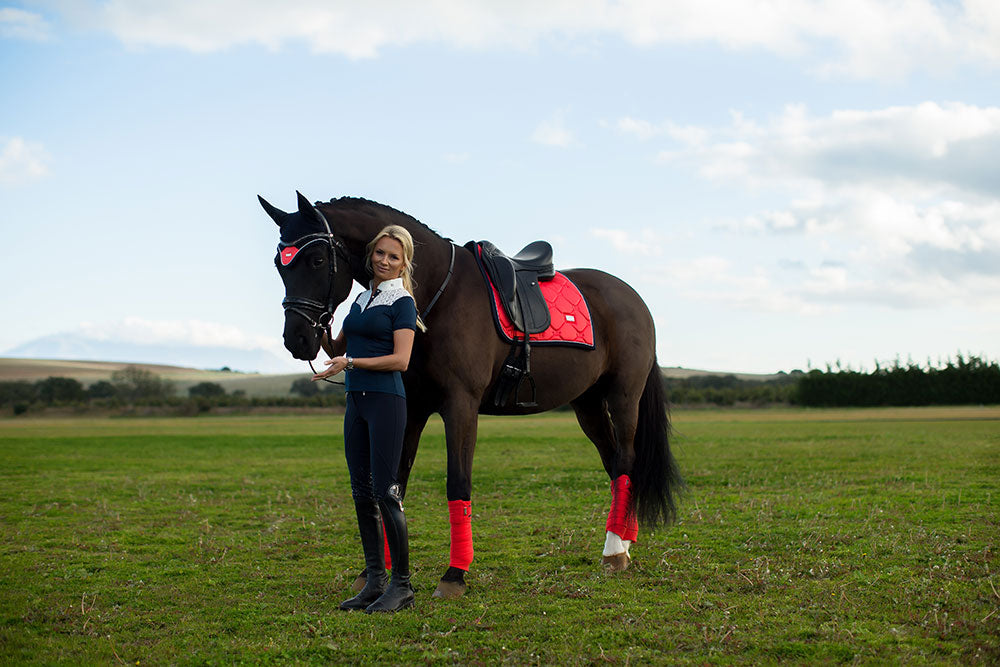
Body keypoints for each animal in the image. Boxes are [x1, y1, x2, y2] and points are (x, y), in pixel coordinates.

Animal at [258, 190, 684, 596]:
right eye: (280, 264)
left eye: (316, 260)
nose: (297, 338)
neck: (435, 293)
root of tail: (631, 297)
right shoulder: (411, 408)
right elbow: (395, 484)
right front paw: (379, 575)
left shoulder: (460, 406)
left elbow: (457, 483)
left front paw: (454, 574)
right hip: (588, 404)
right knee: (615, 465)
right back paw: (623, 542)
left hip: (623, 397)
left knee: (626, 460)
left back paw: (614, 550)